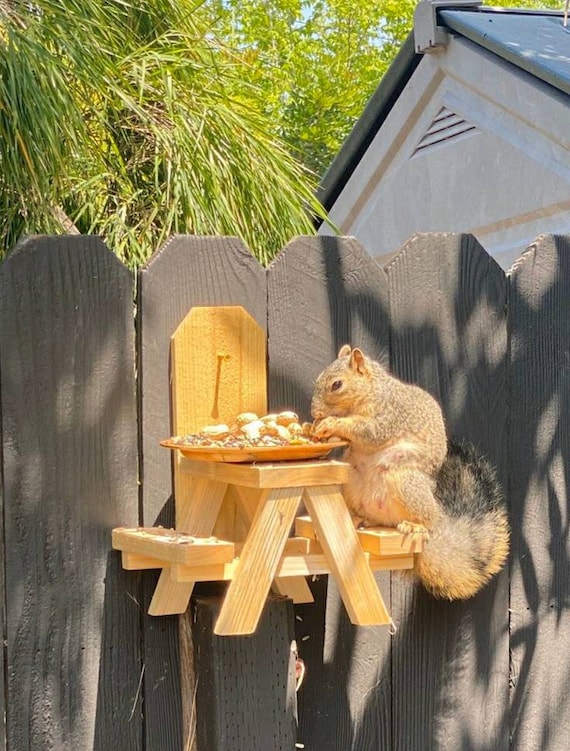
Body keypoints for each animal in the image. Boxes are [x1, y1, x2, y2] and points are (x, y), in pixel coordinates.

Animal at [308, 346, 508, 600]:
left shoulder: (389, 416)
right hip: (352, 480)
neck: (373, 391)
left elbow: (369, 432)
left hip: (405, 482)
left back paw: (417, 526)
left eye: (337, 385)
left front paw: (332, 424)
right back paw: (358, 518)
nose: (315, 412)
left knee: (428, 519)